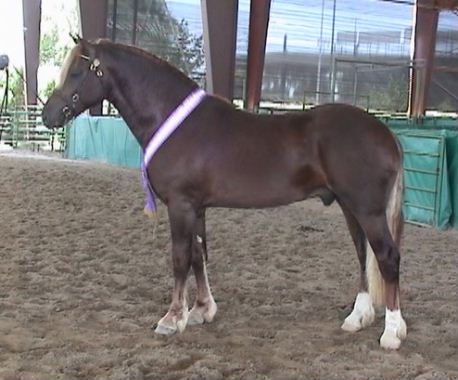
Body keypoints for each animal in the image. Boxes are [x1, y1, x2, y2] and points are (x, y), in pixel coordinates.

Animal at [43, 38, 406, 350]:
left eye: (76, 72)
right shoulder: (198, 207)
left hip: (367, 210)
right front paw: (202, 310)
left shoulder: (181, 205)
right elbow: (198, 256)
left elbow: (179, 259)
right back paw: (358, 318)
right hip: (350, 207)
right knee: (363, 256)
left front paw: (172, 318)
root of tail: (387, 134)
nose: (49, 114)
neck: (175, 121)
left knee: (387, 257)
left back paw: (391, 332)